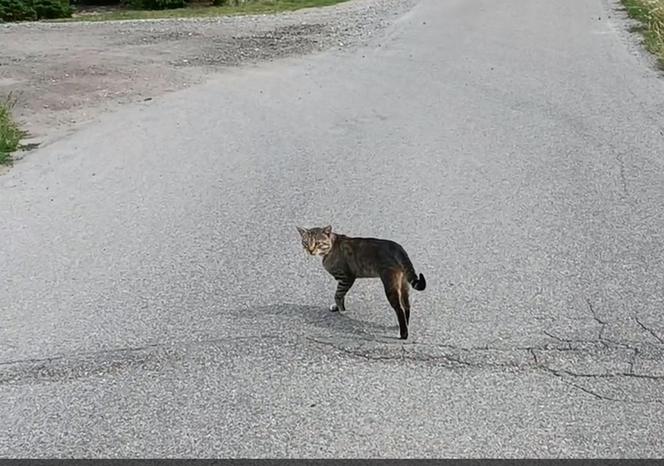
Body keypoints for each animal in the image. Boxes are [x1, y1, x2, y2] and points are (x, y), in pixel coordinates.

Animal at [296, 225, 426, 338]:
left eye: (318, 243)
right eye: (306, 243)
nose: (310, 251)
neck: (331, 247)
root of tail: (398, 247)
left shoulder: (346, 278)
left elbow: (338, 294)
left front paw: (341, 310)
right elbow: (341, 295)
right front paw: (338, 308)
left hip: (390, 284)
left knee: (399, 309)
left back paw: (403, 334)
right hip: (403, 283)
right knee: (406, 305)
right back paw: (404, 324)